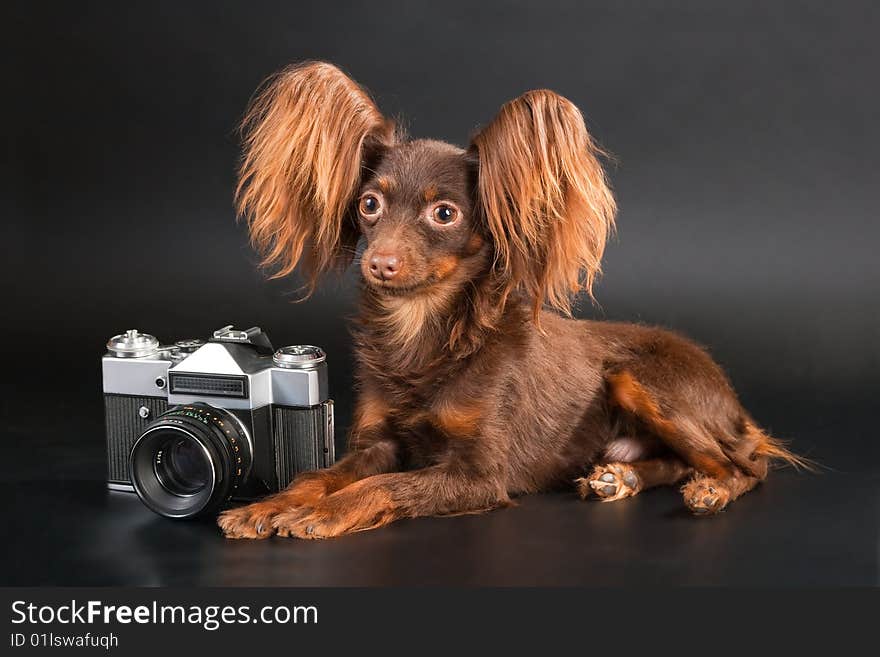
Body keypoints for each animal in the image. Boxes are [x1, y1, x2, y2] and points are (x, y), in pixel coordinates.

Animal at [215, 60, 804, 540]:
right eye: (369, 204)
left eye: (445, 214)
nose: (380, 263)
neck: (422, 329)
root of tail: (731, 398)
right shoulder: (376, 447)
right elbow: (319, 474)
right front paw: (269, 505)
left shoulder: (479, 475)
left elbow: (383, 486)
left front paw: (321, 513)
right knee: (682, 462)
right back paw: (621, 477)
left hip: (638, 379)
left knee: (746, 466)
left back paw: (711, 490)